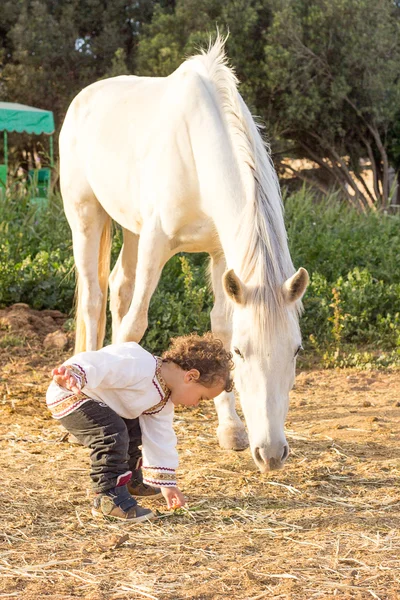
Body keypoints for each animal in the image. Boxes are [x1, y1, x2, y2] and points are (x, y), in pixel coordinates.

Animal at [60, 37, 310, 474]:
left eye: (295, 350)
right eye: (242, 352)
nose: (272, 454)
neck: (198, 151)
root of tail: (83, 98)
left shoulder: (222, 252)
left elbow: (218, 326)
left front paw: (231, 429)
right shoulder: (157, 244)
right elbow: (136, 324)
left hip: (130, 227)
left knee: (119, 288)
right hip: (86, 217)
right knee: (93, 296)